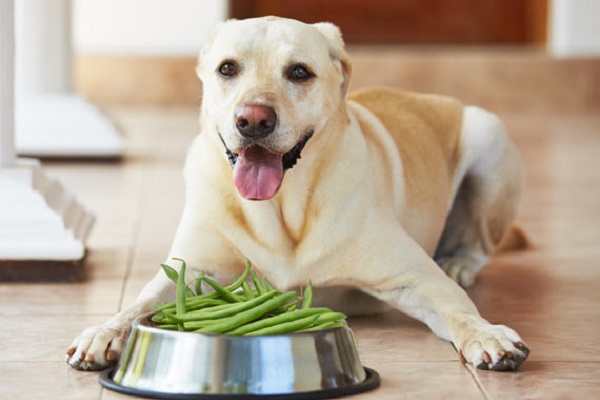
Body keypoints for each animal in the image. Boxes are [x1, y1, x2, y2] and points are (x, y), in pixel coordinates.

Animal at [67, 15, 528, 372]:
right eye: (227, 68)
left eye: (300, 72)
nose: (253, 120)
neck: (281, 209)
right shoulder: (190, 271)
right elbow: (138, 302)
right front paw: (105, 331)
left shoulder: (415, 276)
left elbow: (459, 309)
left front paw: (487, 334)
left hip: (488, 134)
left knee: (478, 244)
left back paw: (459, 262)